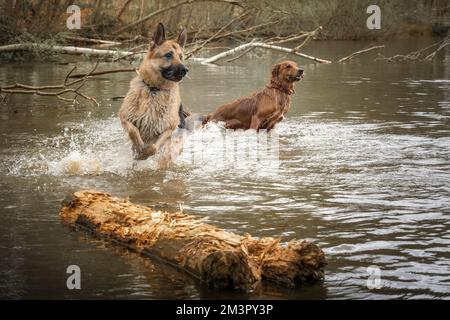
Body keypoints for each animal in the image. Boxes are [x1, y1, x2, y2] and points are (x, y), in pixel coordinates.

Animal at [119, 22, 188, 161]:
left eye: (181, 57)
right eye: (168, 55)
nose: (185, 70)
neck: (154, 89)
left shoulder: (168, 129)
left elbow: (154, 147)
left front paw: (144, 154)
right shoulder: (124, 117)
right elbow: (133, 131)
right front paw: (139, 146)